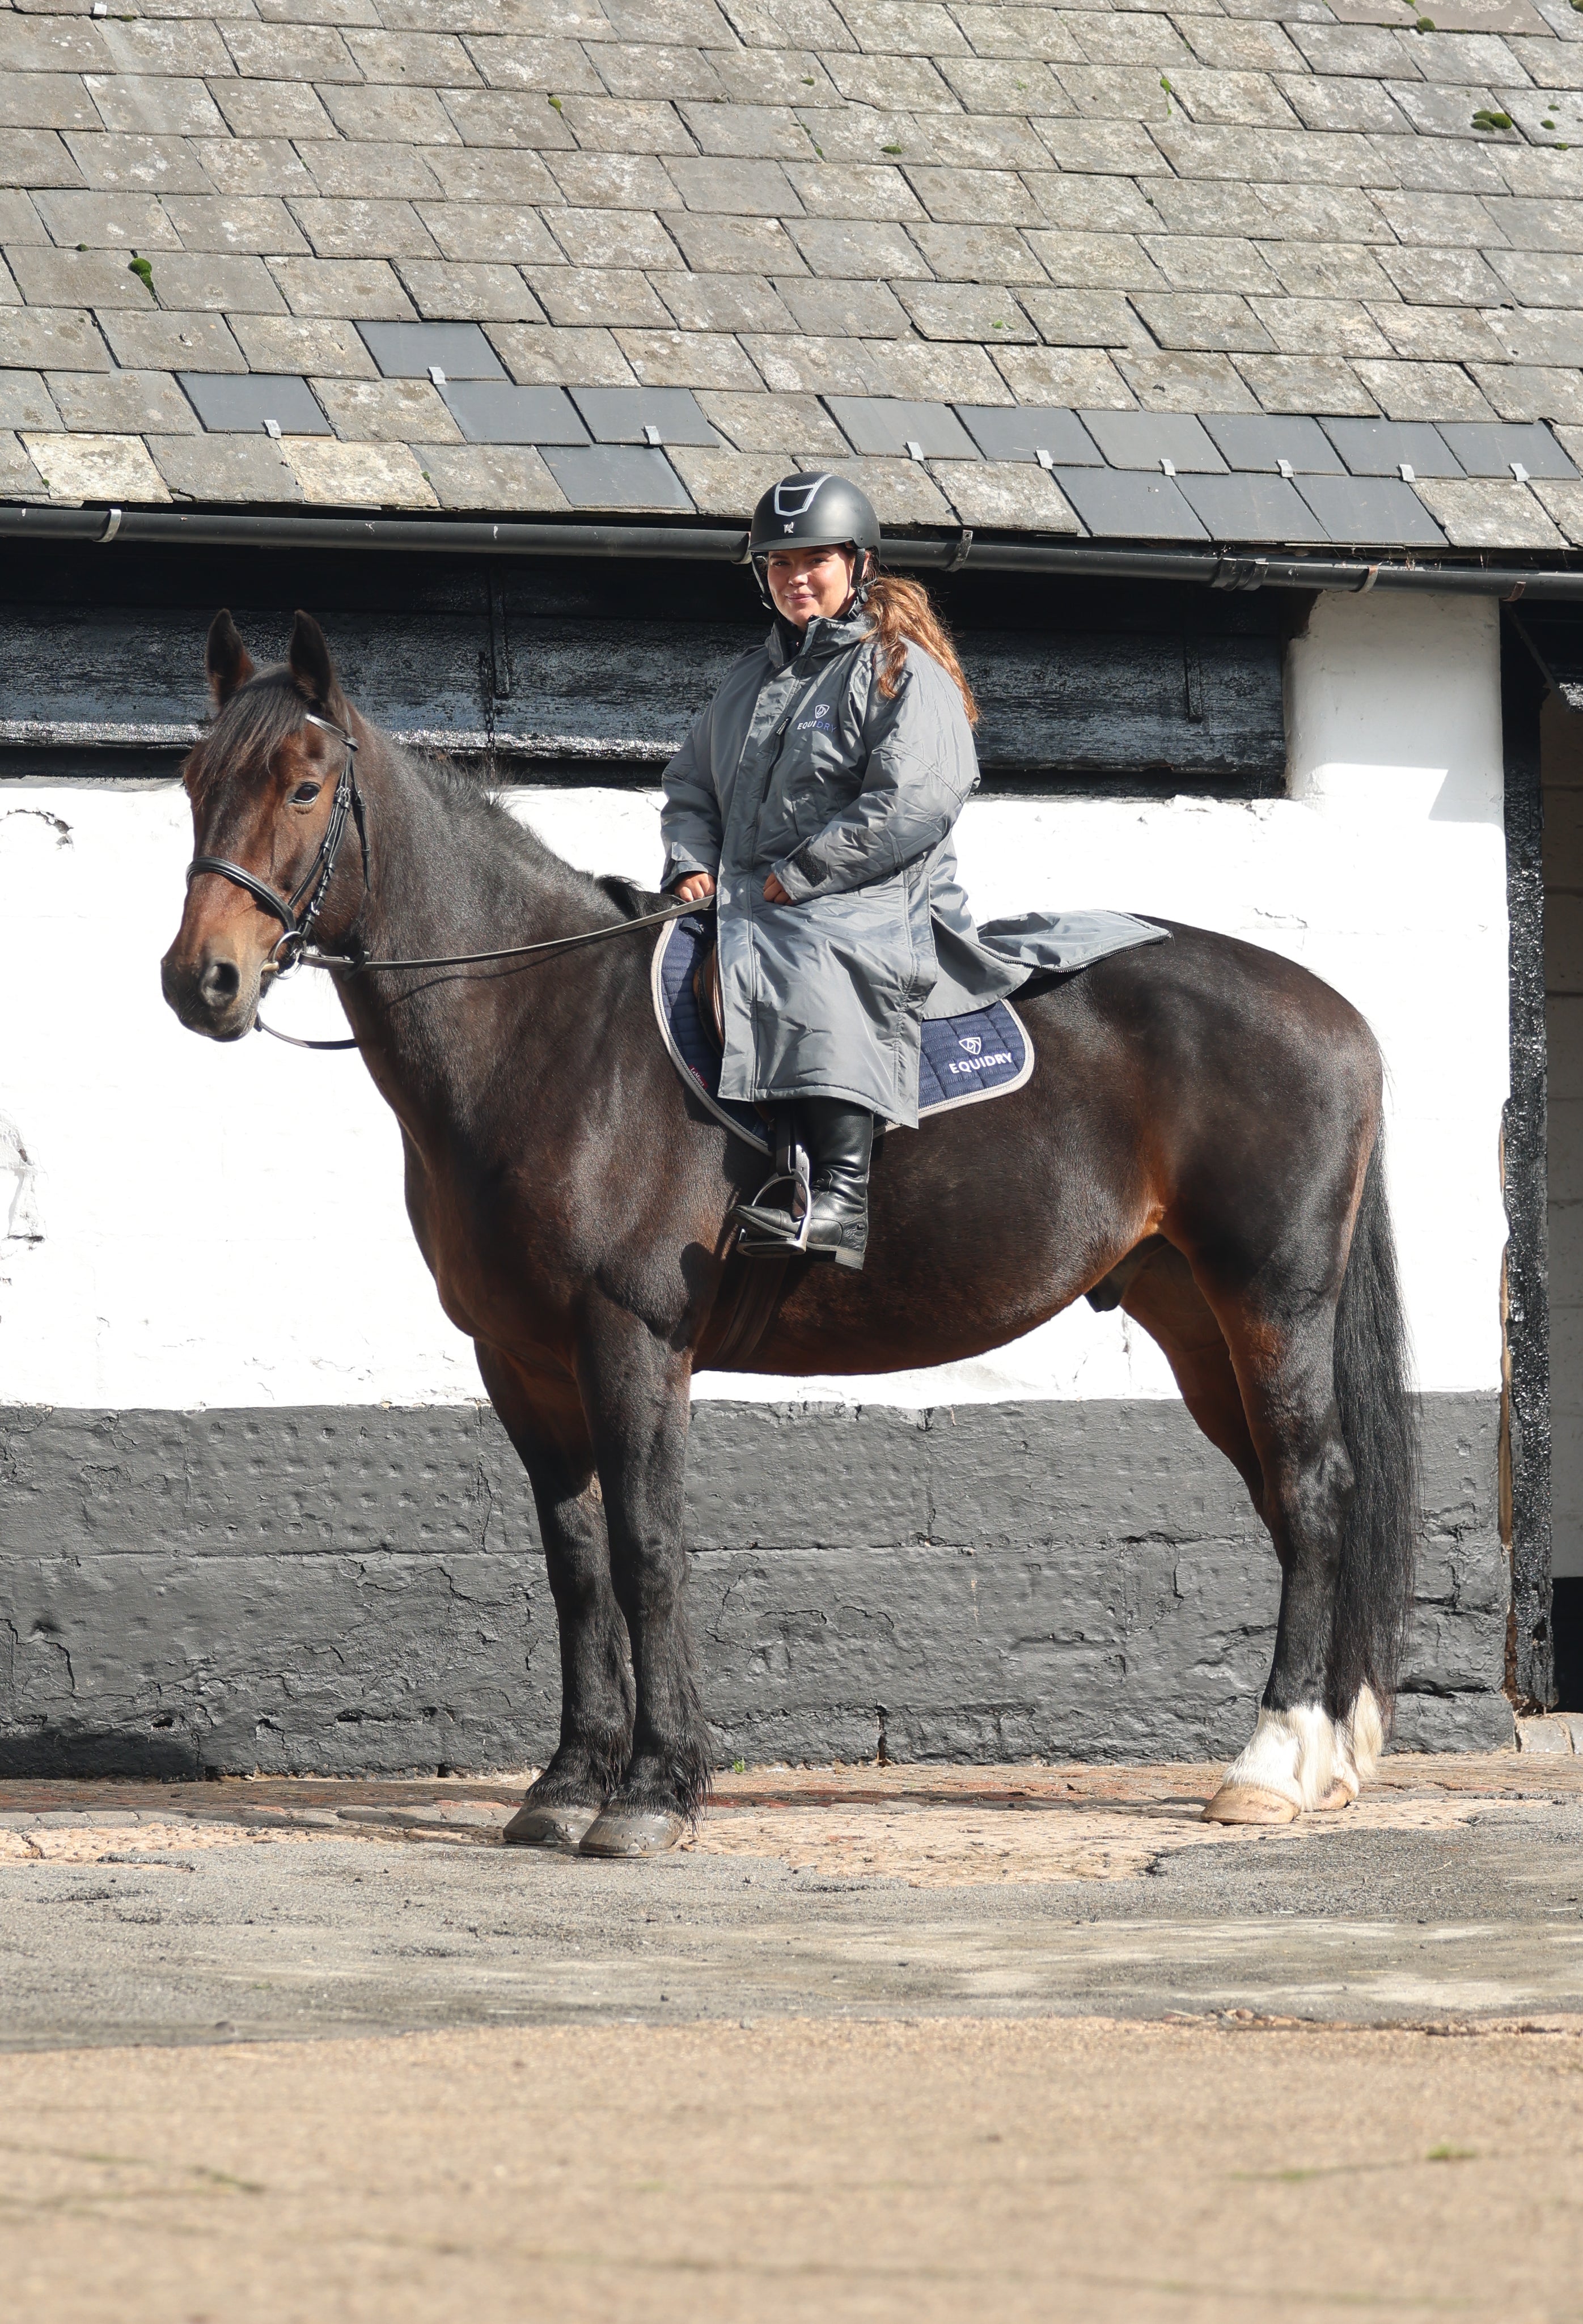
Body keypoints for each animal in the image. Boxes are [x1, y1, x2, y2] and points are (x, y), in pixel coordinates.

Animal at [160, 609, 1418, 1856]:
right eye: (193, 780)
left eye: (306, 784)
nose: (200, 980)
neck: (547, 1035)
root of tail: (1336, 1012)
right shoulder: (519, 1361)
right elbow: (576, 1565)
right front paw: (566, 1785)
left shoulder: (631, 1340)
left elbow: (645, 1548)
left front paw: (654, 1791)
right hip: (1193, 1316)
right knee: (1288, 1498)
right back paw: (1326, 1758)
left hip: (1270, 1302)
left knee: (1314, 1490)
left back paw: (1269, 1767)